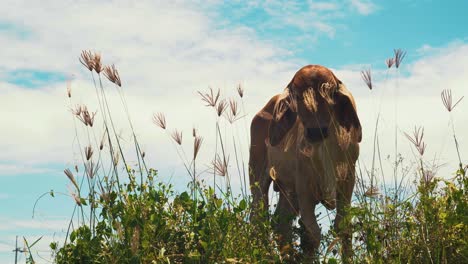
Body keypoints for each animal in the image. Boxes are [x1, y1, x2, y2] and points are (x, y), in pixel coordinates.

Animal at [249, 64, 362, 260]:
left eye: (329, 93)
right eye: (297, 96)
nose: (316, 132)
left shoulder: (348, 177)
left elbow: (343, 227)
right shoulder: (303, 184)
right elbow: (311, 233)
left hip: (288, 192)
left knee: (281, 224)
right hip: (258, 176)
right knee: (259, 218)